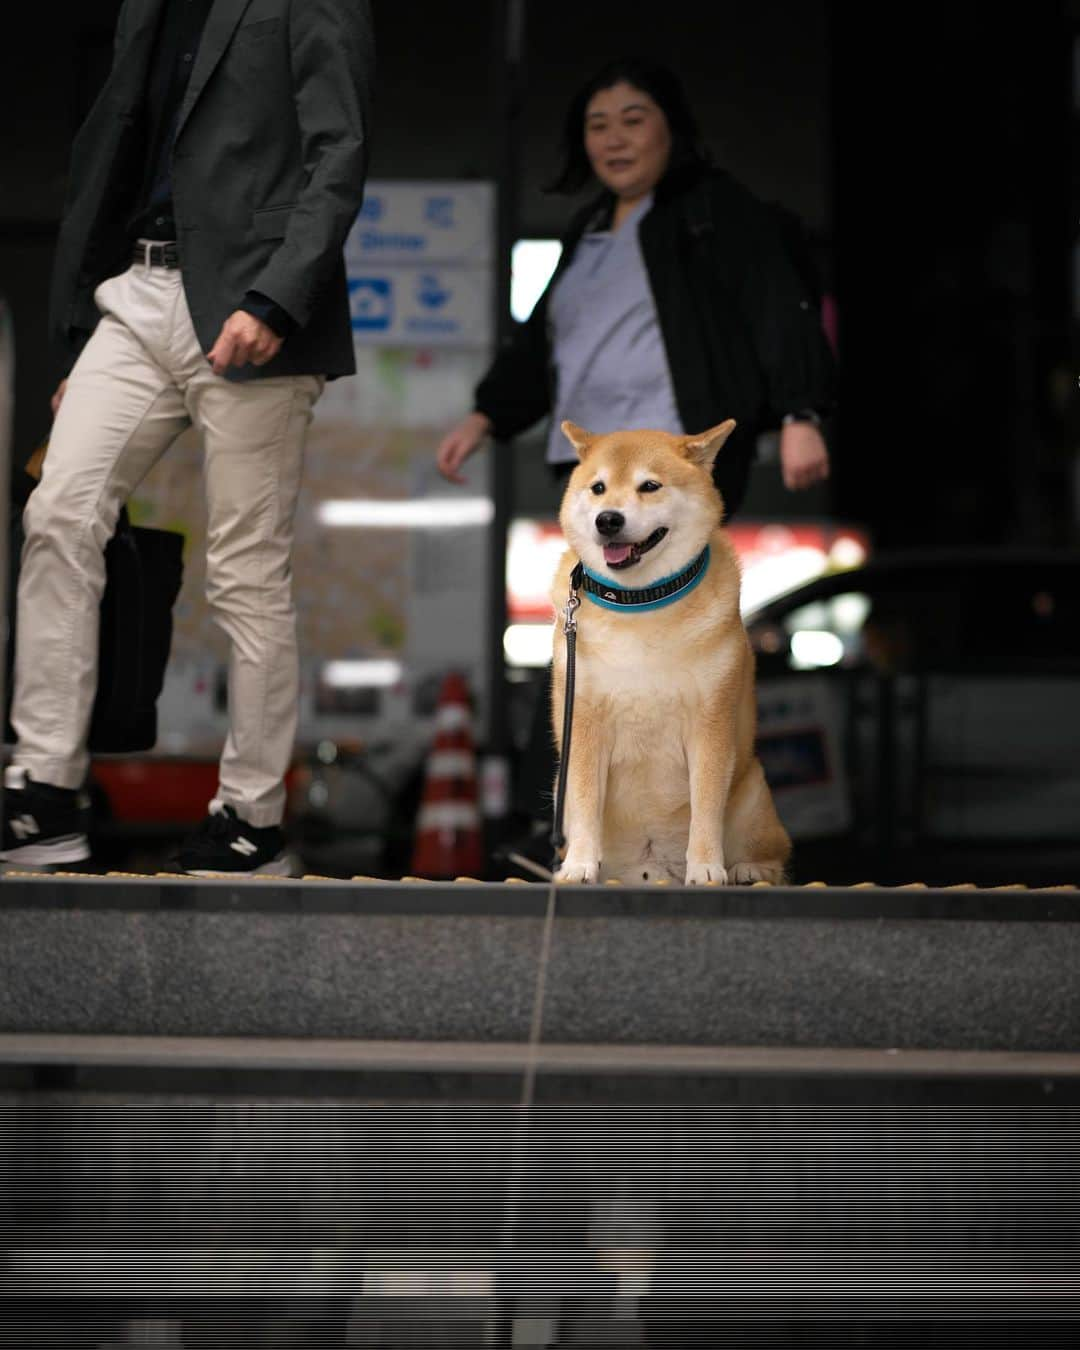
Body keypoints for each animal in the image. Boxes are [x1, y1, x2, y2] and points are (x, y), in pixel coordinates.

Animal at [553, 418, 788, 885]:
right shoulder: (583, 720)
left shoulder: (710, 722)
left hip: (753, 791)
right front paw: (580, 865)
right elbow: (585, 800)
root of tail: (653, 865)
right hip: (559, 788)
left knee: (776, 855)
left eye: (650, 486)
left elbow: (707, 806)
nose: (608, 520)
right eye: (598, 488)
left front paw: (706, 867)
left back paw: (747, 868)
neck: (641, 602)